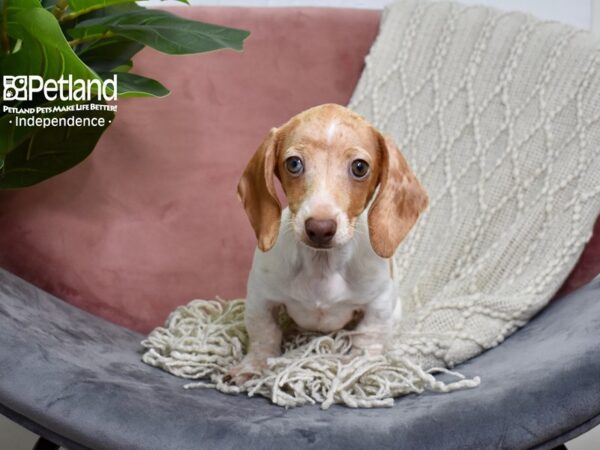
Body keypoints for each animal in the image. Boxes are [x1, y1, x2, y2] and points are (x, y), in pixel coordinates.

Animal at [225, 103, 426, 384]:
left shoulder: (379, 303)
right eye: (294, 163)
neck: (322, 267)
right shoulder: (260, 298)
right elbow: (265, 335)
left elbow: (368, 338)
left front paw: (358, 369)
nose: (320, 229)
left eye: (360, 167)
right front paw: (253, 366)